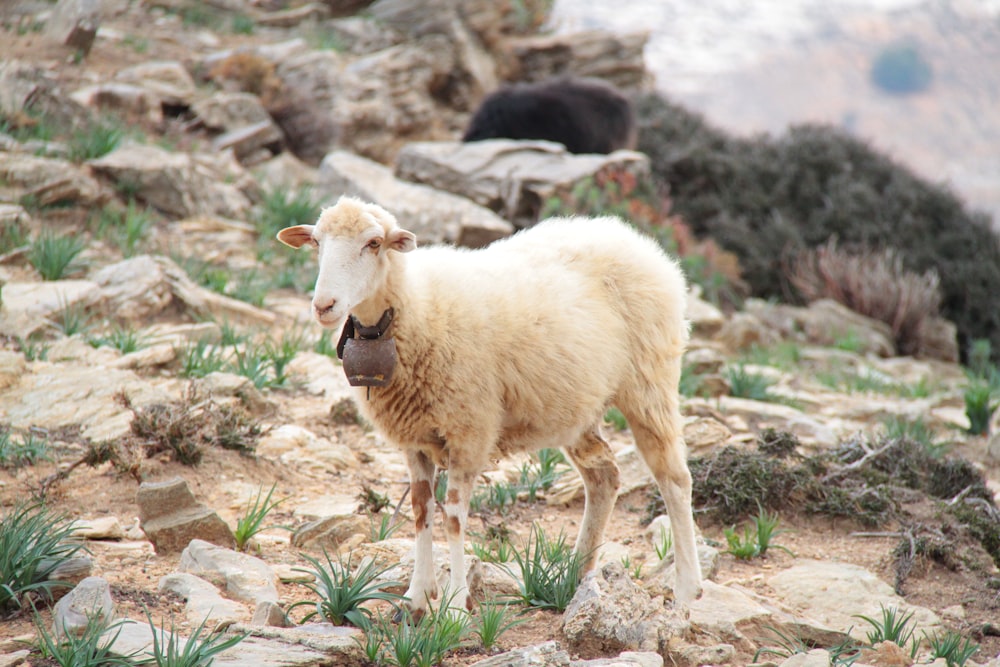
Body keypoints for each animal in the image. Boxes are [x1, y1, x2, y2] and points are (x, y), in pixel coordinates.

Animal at [278, 197, 704, 616]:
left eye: (373, 243)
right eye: (317, 242)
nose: (324, 305)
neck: (414, 308)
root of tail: (633, 238)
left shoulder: (469, 430)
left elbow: (453, 517)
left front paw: (455, 604)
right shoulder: (415, 439)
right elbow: (421, 511)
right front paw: (416, 598)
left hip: (650, 383)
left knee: (674, 479)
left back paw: (687, 589)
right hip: (572, 407)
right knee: (604, 477)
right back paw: (576, 577)